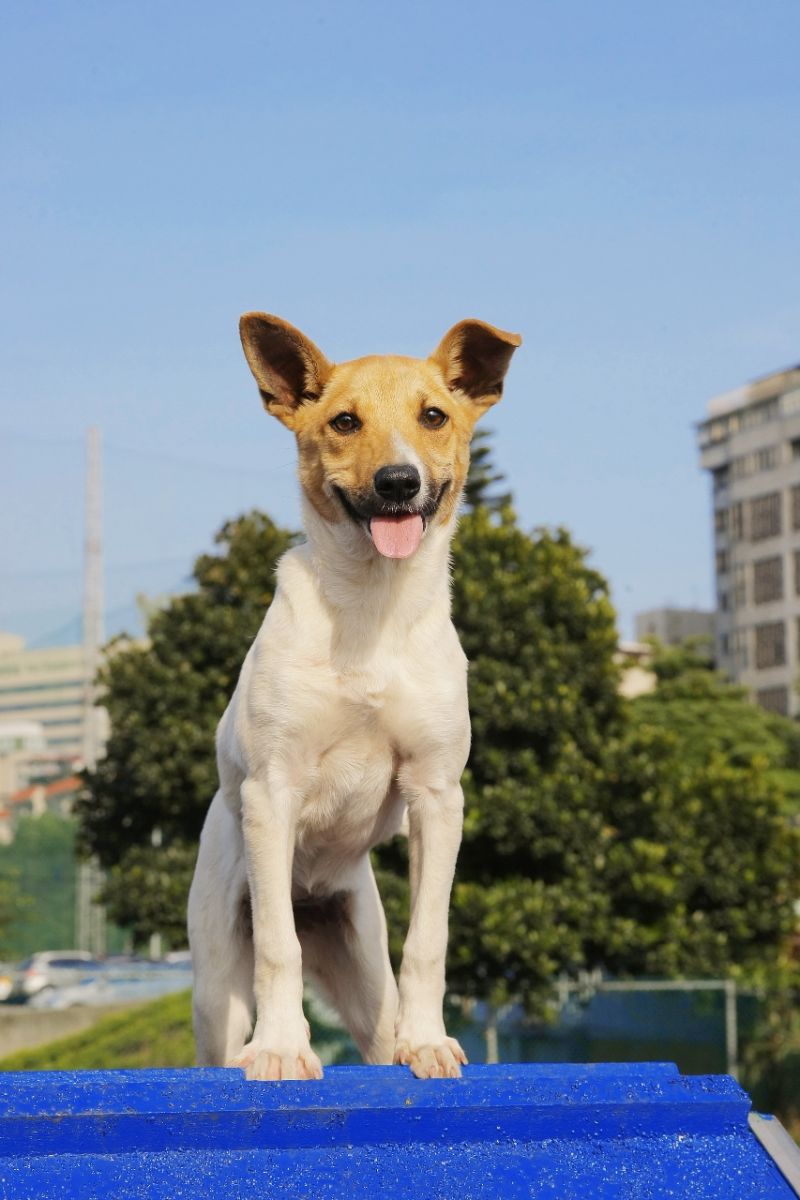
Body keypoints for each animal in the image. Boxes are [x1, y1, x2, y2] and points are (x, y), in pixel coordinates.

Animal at [189, 314, 525, 1084]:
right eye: (344, 422)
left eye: (434, 416)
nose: (398, 482)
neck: (373, 608)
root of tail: (311, 893)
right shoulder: (272, 792)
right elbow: (277, 948)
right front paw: (282, 1049)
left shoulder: (438, 796)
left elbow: (429, 940)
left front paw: (427, 1042)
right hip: (217, 982)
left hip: (363, 962)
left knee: (379, 1018)